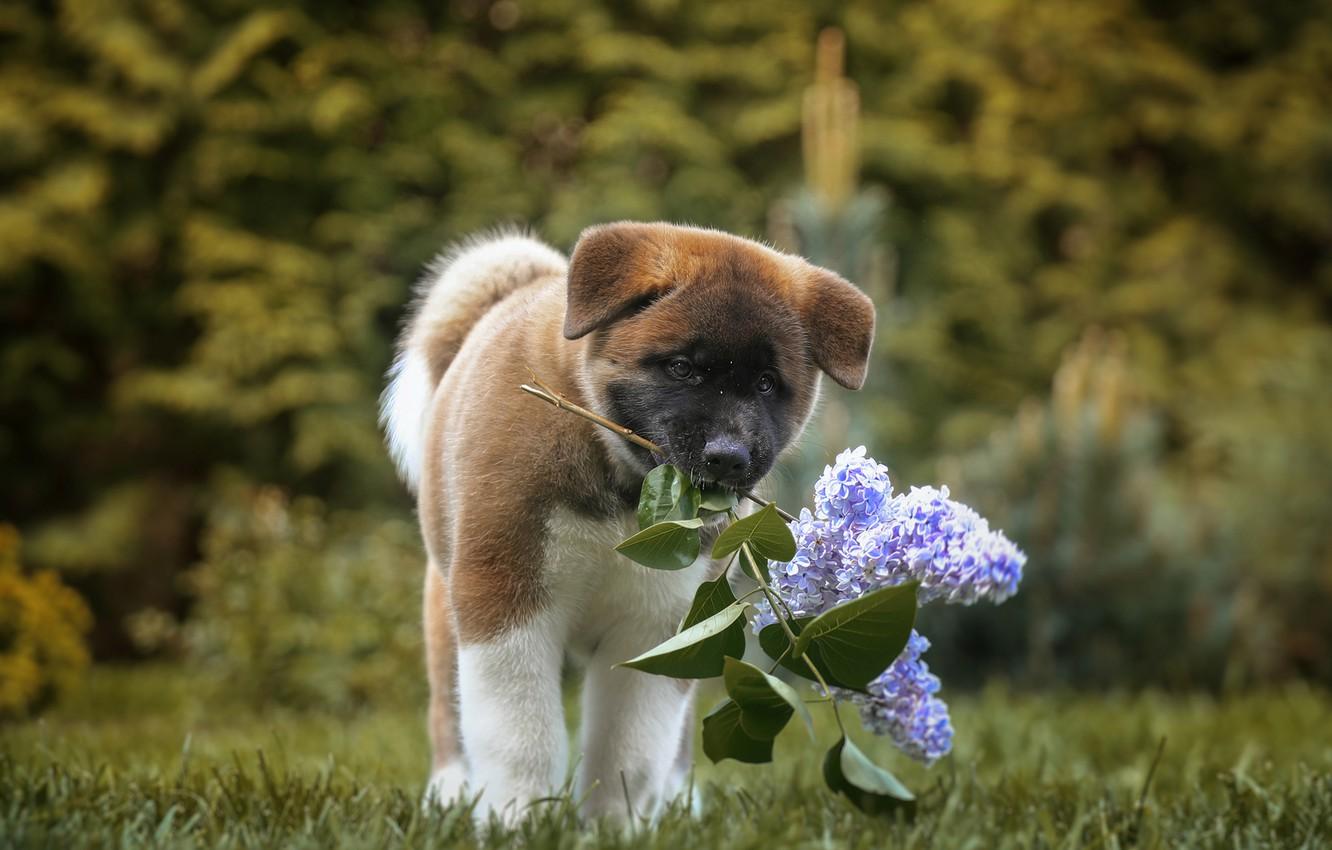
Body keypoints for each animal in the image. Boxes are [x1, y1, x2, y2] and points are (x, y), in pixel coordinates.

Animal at [383, 223, 873, 820]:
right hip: (444, 607)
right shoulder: (504, 597)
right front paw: (517, 819)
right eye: (682, 367)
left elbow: (630, 751)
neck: (622, 488)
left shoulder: (661, 627)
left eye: (764, 383)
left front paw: (610, 826)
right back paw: (451, 794)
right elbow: (520, 735)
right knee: (448, 715)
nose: (728, 457)